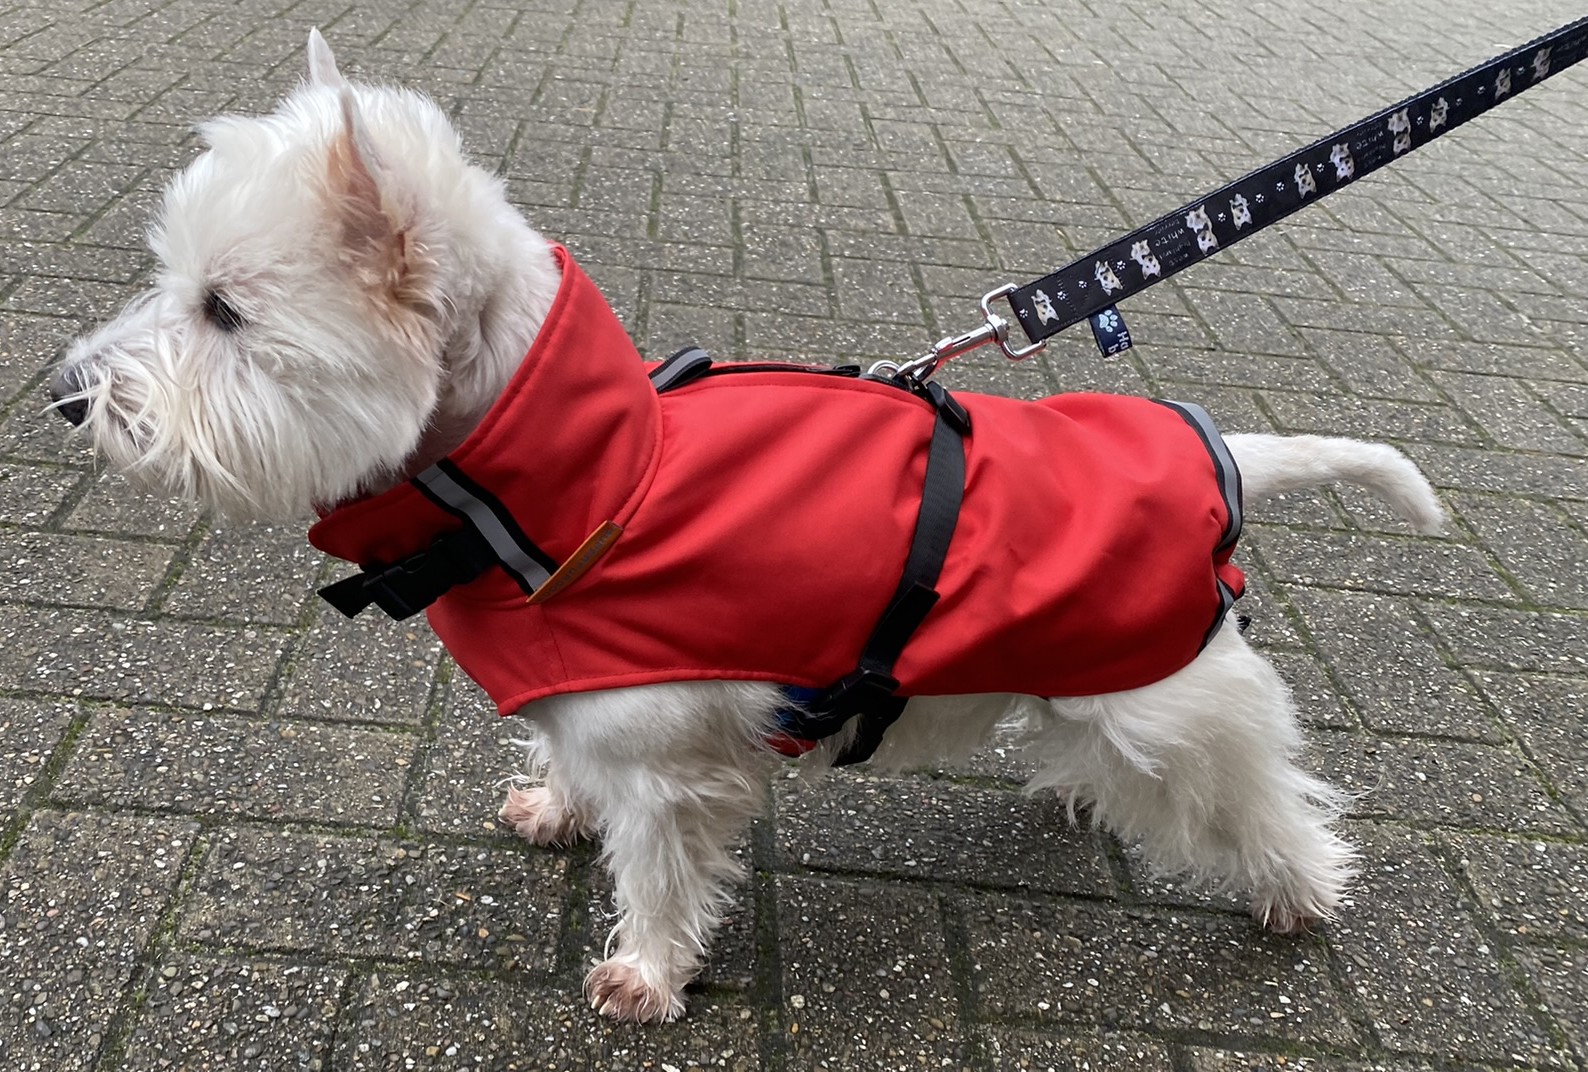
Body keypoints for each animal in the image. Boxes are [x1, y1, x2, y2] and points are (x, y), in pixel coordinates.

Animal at [55, 31, 1454, 1022]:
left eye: (226, 308)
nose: (69, 397)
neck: (583, 494)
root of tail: (1204, 449)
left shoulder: (673, 765)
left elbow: (661, 870)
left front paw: (645, 975)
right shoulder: (586, 696)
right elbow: (574, 767)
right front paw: (556, 809)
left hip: (1172, 696)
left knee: (1262, 791)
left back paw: (1300, 893)